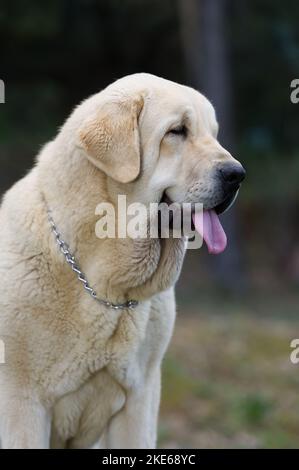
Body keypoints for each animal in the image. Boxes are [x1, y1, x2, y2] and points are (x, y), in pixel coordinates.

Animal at [0, 73, 245, 448]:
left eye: (213, 134)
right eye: (177, 131)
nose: (237, 174)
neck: (104, 286)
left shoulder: (139, 401)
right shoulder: (22, 403)